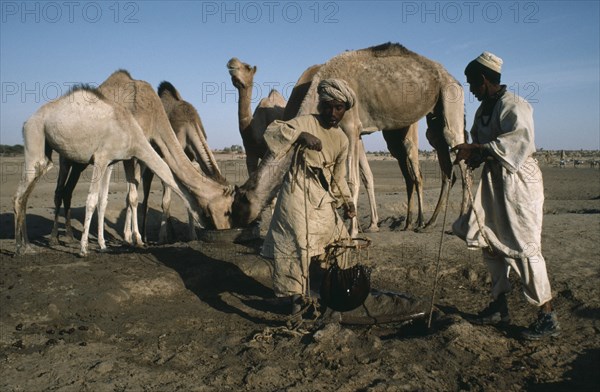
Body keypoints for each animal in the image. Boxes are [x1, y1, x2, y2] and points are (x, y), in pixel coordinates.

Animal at [12, 86, 204, 258]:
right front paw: (84, 249)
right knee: (22, 194)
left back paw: (27, 246)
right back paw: (21, 247)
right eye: (204, 207)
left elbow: (103, 201)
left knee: (31, 190)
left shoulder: (111, 161)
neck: (133, 133)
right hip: (35, 137)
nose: (205, 223)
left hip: (47, 154)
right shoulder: (101, 158)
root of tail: (26, 122)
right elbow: (91, 200)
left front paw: (104, 245)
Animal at [232, 42, 472, 236]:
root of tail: (452, 77)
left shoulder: (351, 128)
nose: (237, 222)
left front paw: (353, 231)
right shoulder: (352, 134)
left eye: (240, 202)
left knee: (459, 158)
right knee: (444, 164)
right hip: (432, 117)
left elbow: (351, 181)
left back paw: (456, 223)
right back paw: (426, 223)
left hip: (450, 96)